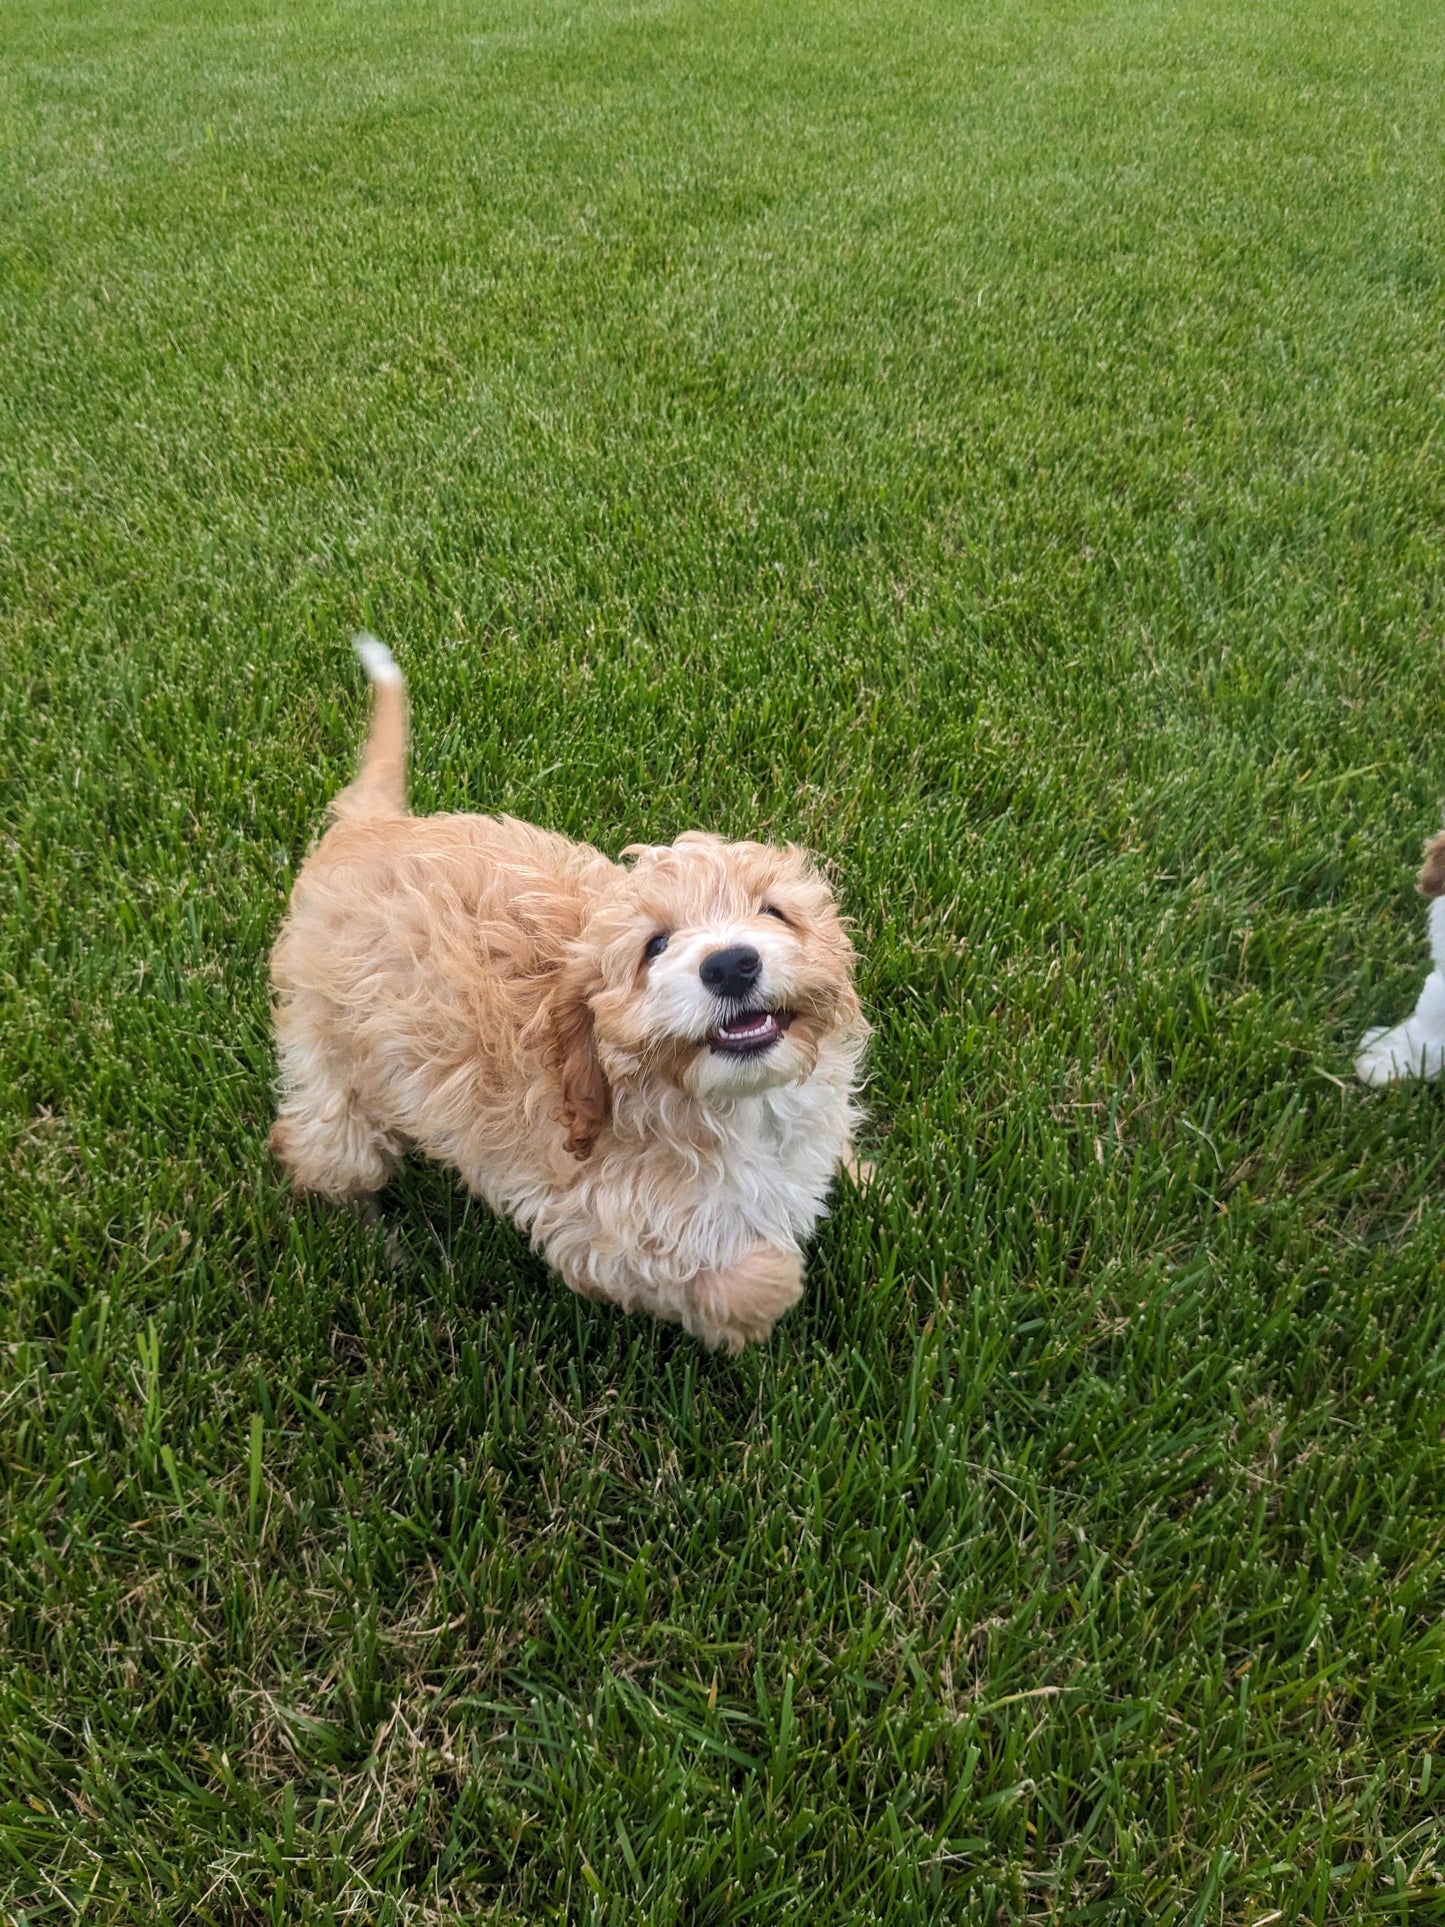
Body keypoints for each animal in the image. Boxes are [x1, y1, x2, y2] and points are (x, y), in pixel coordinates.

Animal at [269, 639, 870, 1348]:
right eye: (654, 946)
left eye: (773, 912)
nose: (730, 965)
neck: (737, 1108)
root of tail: (358, 834)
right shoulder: (596, 1226)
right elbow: (741, 1280)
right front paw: (766, 1290)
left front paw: (858, 1178)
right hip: (333, 1063)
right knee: (319, 1148)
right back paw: (376, 1238)